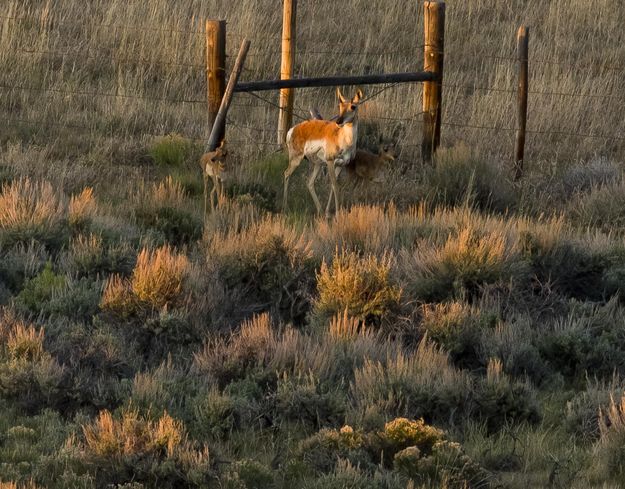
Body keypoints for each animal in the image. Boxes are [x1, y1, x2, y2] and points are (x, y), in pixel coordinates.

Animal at [282, 88, 364, 217]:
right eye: (340, 105)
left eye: (353, 106)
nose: (339, 121)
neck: (342, 138)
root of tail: (293, 129)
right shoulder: (330, 162)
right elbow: (335, 186)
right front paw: (338, 214)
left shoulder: (341, 165)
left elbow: (332, 186)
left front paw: (328, 212)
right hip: (296, 160)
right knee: (286, 173)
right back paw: (284, 208)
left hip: (318, 164)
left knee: (310, 183)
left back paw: (320, 210)